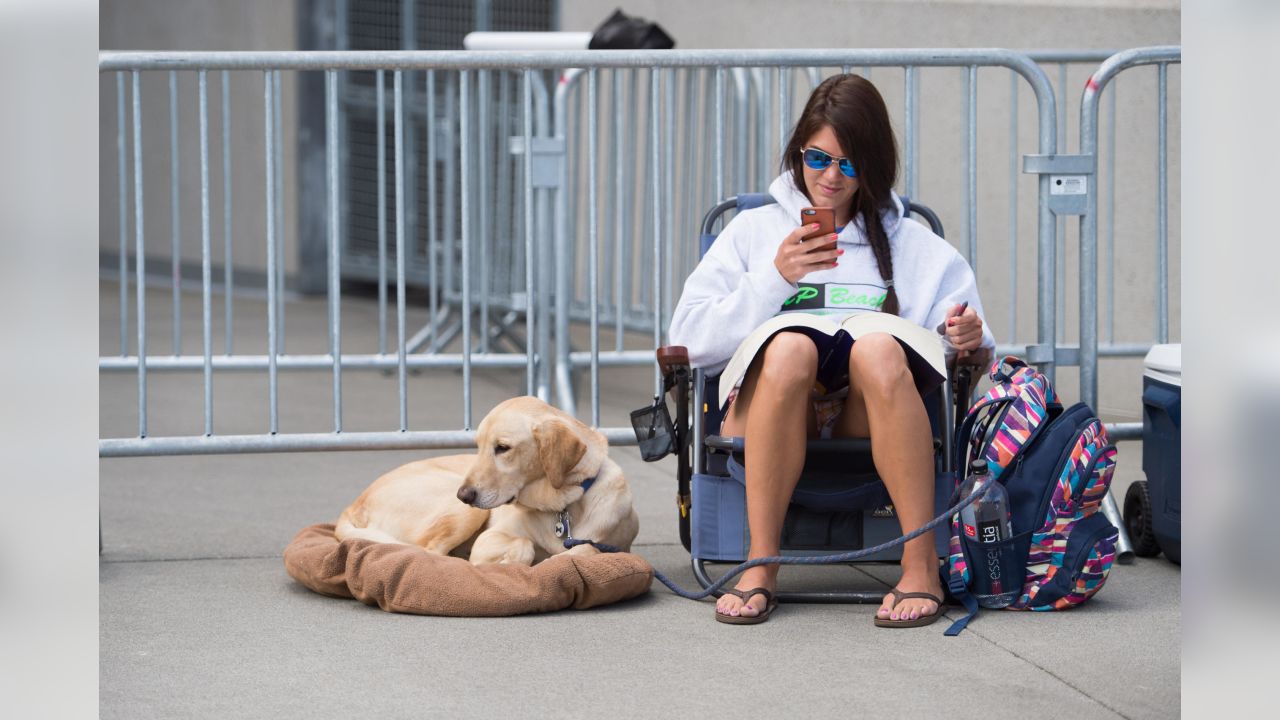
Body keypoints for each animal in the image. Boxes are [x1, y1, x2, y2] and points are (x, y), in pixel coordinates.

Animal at [332, 394, 637, 563]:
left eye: (502, 448)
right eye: (477, 446)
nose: (464, 494)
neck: (562, 506)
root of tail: (353, 505)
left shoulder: (613, 545)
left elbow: (587, 551)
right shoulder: (491, 536)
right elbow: (525, 545)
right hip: (462, 511)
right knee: (429, 553)